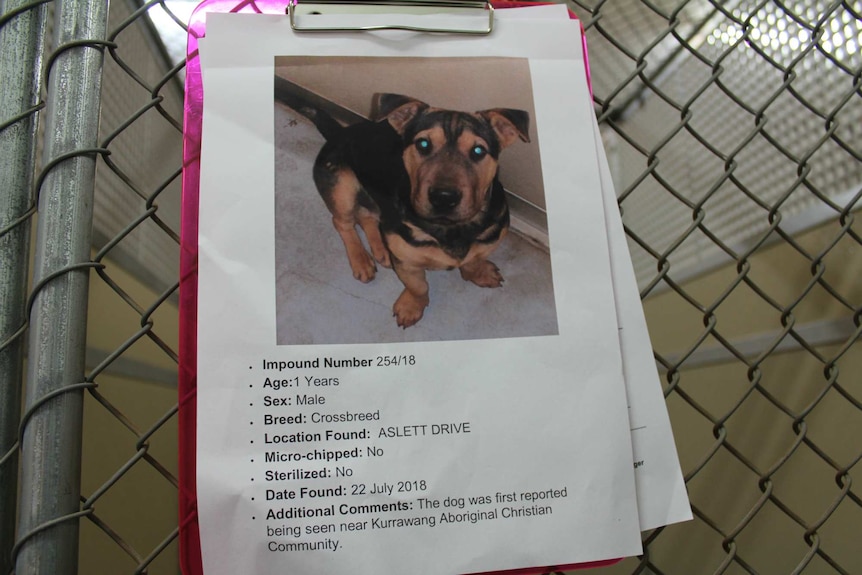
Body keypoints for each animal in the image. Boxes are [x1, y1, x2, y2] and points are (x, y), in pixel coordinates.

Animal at [304, 94, 532, 328]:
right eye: (423, 144)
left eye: (479, 151)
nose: (444, 197)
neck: (451, 228)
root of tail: (340, 132)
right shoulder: (407, 262)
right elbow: (418, 286)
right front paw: (411, 307)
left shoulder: (491, 237)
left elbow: (474, 258)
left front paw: (479, 272)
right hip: (342, 185)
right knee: (343, 222)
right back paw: (361, 260)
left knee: (368, 216)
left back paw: (381, 249)